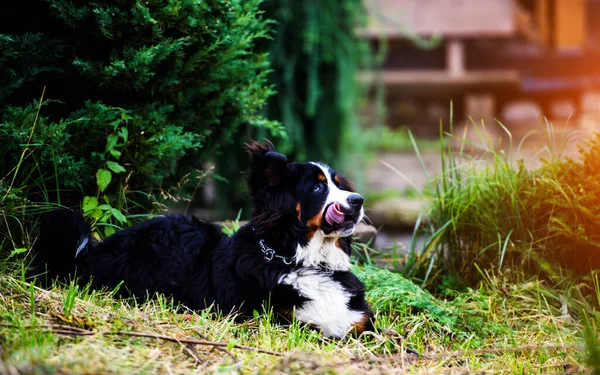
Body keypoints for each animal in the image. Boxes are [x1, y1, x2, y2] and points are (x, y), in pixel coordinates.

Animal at [34, 140, 376, 338]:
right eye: (317, 187)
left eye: (339, 184)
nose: (358, 200)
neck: (300, 261)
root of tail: (93, 253)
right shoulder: (281, 321)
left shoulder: (361, 323)